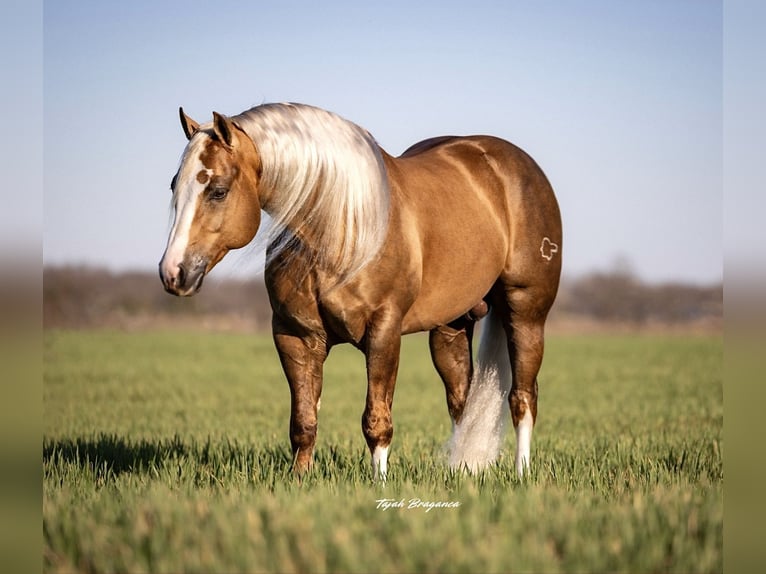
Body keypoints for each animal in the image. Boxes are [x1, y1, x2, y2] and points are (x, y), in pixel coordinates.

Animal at [159, 103, 564, 482]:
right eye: (175, 185)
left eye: (218, 190)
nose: (173, 272)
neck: (341, 227)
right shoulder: (295, 336)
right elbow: (303, 423)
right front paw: (299, 481)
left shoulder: (383, 332)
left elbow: (376, 420)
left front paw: (379, 484)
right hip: (450, 326)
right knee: (460, 400)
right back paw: (461, 468)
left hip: (526, 313)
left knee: (523, 397)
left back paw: (522, 473)